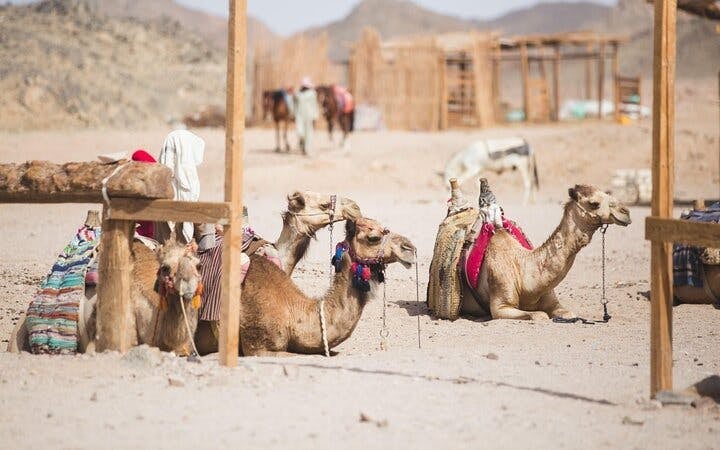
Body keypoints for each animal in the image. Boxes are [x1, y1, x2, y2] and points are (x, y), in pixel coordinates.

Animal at [461, 184, 631, 320]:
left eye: (607, 193)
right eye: (594, 203)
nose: (626, 212)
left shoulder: (553, 301)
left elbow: (569, 314)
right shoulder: (500, 306)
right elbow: (540, 315)